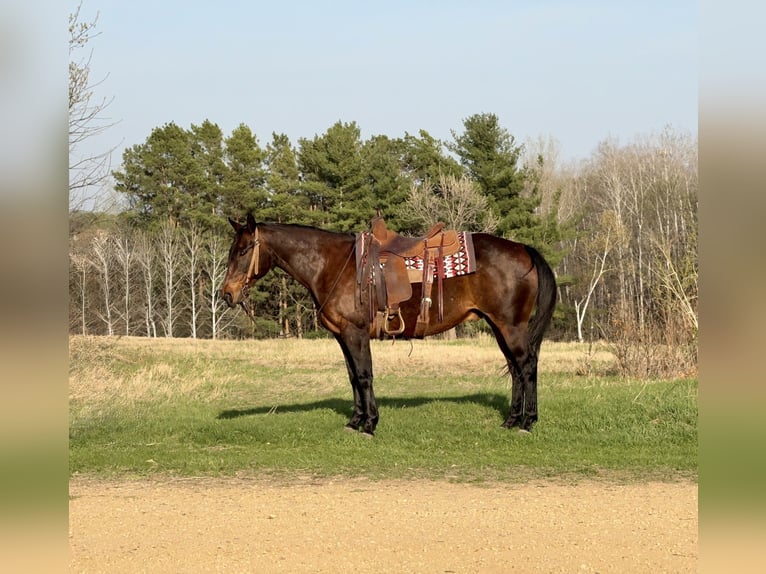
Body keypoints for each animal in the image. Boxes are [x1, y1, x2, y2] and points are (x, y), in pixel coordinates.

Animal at [221, 213, 557, 436]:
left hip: (511, 327)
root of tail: (523, 248)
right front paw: (355, 421)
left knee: (527, 366)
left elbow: (365, 375)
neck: (332, 264)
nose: (227, 294)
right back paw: (511, 420)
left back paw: (527, 422)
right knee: (515, 369)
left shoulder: (355, 333)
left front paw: (370, 425)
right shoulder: (343, 336)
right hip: (499, 327)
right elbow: (353, 377)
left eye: (243, 250)